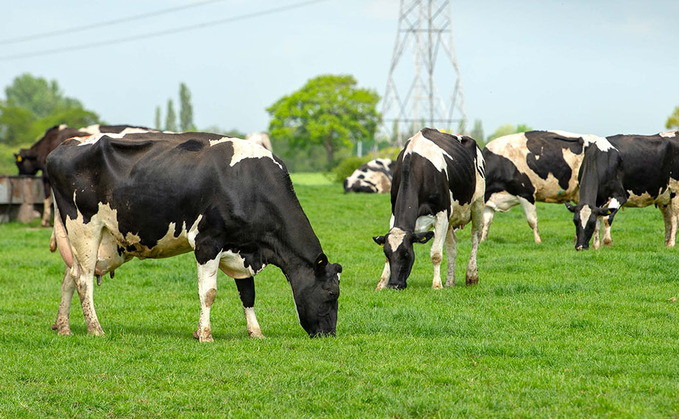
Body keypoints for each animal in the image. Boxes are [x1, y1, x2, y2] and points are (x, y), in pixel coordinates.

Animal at [47, 131, 342, 342]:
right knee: (83, 280)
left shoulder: (242, 247)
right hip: (84, 228)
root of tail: (63, 146)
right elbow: (208, 293)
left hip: (88, 241)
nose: (329, 335)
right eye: (331, 293)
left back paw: (64, 327)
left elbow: (248, 294)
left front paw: (255, 333)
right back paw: (95, 329)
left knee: (69, 277)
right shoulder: (207, 242)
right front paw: (205, 335)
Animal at [370, 130, 486, 290]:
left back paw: (471, 276)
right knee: (452, 247)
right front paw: (381, 284)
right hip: (451, 219)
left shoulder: (442, 214)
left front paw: (436, 285)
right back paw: (450, 282)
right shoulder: (393, 214)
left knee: (475, 237)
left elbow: (436, 254)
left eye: (406, 254)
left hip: (478, 204)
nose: (394, 285)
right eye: (386, 253)